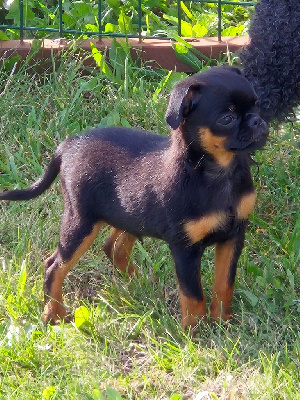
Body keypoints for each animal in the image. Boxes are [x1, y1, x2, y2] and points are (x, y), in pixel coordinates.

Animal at [0, 66, 268, 328]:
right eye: (227, 119)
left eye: (257, 105)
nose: (257, 120)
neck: (218, 171)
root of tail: (68, 145)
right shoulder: (185, 248)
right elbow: (193, 294)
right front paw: (196, 330)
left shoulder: (233, 236)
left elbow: (224, 284)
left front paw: (223, 321)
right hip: (81, 223)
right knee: (54, 266)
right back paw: (53, 313)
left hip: (129, 212)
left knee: (113, 248)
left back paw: (143, 285)